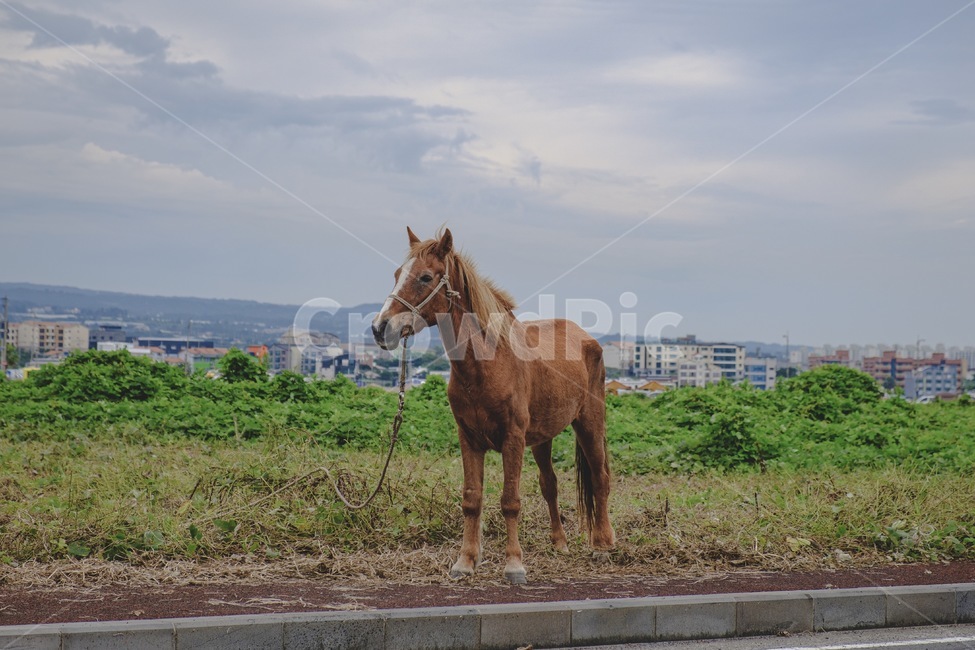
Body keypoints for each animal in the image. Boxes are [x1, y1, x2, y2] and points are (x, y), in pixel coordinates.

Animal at [371, 226, 615, 584]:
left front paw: (514, 565)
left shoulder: (512, 438)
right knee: (550, 484)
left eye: (426, 277)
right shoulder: (469, 438)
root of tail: (587, 337)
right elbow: (472, 499)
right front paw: (465, 562)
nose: (380, 328)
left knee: (600, 478)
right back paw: (559, 543)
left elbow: (510, 500)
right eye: (396, 274)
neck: (487, 363)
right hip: (541, 438)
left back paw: (602, 544)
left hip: (590, 422)